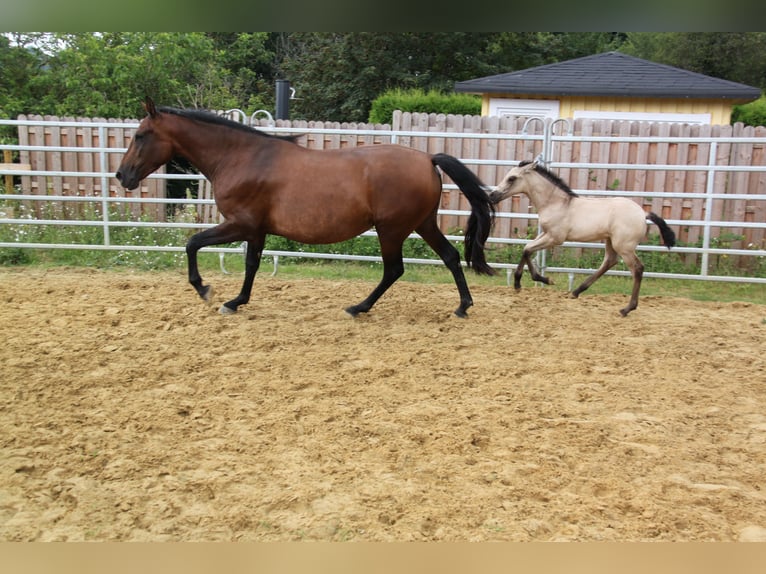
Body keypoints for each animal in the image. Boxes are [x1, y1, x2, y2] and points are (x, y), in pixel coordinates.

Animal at [116, 97, 496, 318]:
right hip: (421, 224)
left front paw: (206, 291)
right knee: (449, 256)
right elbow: (251, 265)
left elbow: (192, 243)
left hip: (392, 230)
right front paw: (236, 302)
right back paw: (462, 306)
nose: (122, 175)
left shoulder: (240, 224)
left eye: (140, 135)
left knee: (394, 270)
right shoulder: (256, 230)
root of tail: (428, 158)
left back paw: (358, 308)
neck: (241, 157)